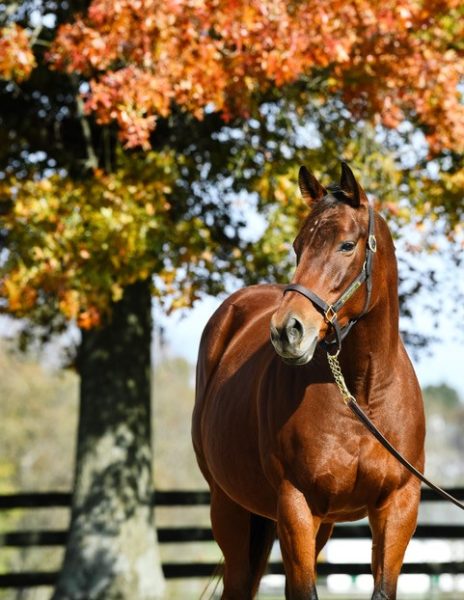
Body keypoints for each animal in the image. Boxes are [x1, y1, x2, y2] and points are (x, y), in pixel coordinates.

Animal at [192, 162, 424, 596]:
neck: (361, 394)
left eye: (347, 246)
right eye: (298, 246)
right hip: (229, 508)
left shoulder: (398, 506)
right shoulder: (295, 504)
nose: (287, 330)